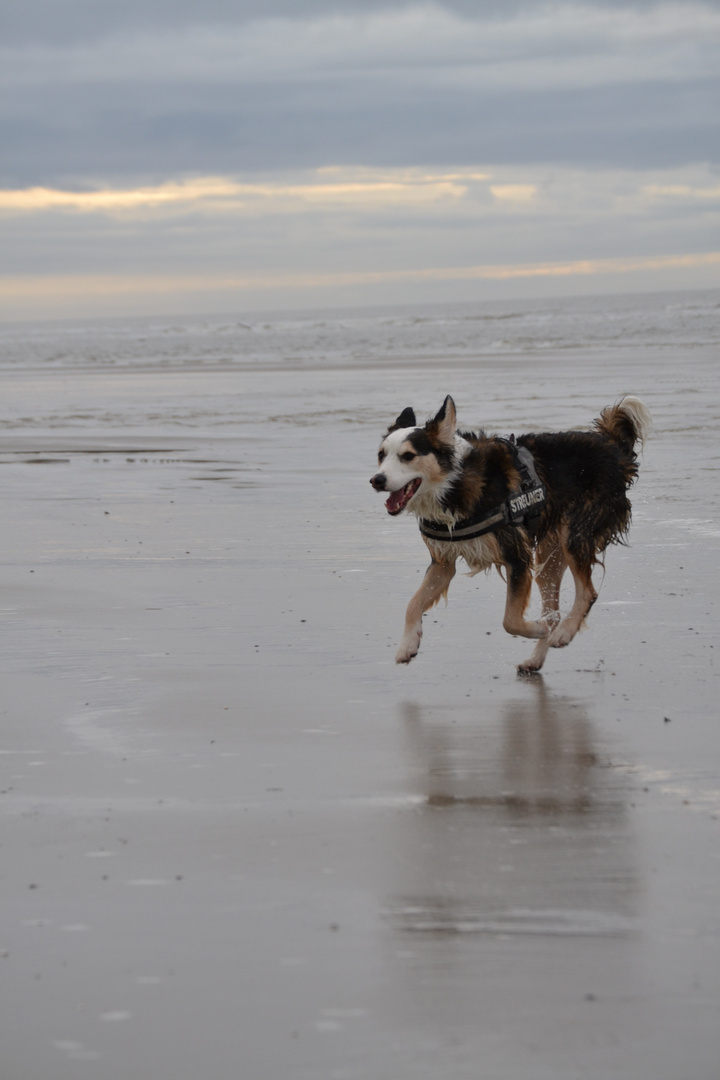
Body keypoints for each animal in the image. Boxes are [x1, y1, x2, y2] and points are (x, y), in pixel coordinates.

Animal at [369, 393, 651, 669]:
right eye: (381, 455)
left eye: (408, 456)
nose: (376, 480)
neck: (455, 482)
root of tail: (613, 447)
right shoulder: (443, 563)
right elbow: (412, 604)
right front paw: (408, 644)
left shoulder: (517, 556)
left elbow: (510, 621)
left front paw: (538, 629)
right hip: (549, 554)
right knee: (554, 608)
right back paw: (537, 657)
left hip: (576, 534)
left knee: (587, 593)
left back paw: (563, 632)